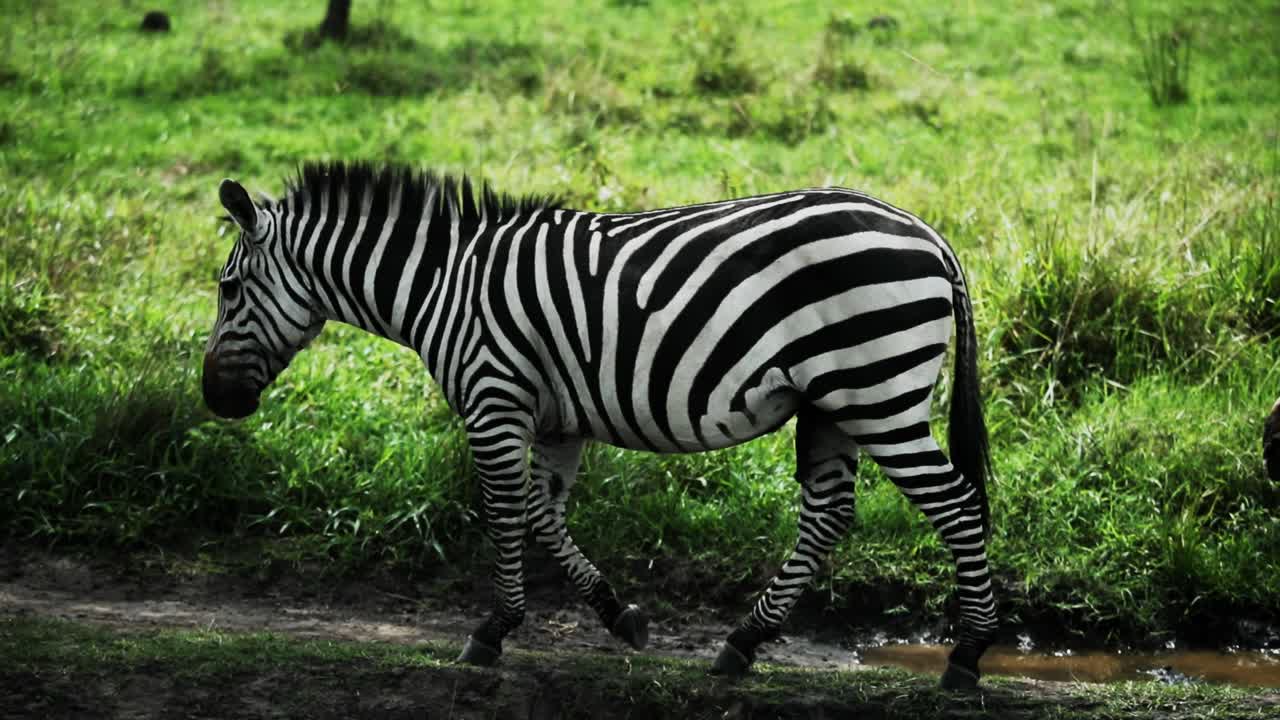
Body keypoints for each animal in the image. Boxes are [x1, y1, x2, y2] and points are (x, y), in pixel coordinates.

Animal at [202, 162, 998, 689]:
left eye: (228, 288)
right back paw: (744, 641)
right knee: (828, 514)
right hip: (830, 405)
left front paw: (493, 631)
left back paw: (967, 657)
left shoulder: (495, 397)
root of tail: (929, 233)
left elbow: (504, 512)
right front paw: (620, 615)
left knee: (957, 506)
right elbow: (542, 515)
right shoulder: (557, 421)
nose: (214, 399)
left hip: (876, 391)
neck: (443, 285)